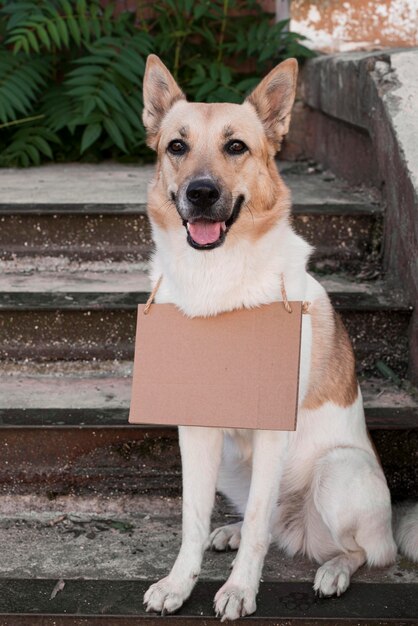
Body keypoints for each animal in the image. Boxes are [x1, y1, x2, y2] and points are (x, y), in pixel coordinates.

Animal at [141, 54, 418, 620]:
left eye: (236, 146)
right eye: (176, 146)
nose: (201, 193)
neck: (217, 281)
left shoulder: (273, 431)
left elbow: (255, 535)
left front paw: (239, 590)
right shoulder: (195, 430)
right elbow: (192, 520)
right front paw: (180, 583)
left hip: (337, 472)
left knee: (359, 551)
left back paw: (332, 571)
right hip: (233, 465)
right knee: (262, 520)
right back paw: (231, 532)